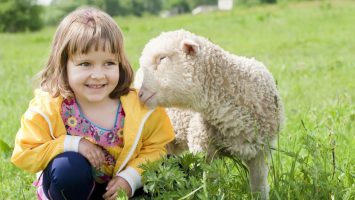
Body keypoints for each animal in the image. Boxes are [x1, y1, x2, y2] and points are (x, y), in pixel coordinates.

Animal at [135, 28, 286, 199]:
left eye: (162, 58)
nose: (140, 94)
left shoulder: (261, 151)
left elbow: (259, 186)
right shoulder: (202, 147)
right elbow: (210, 182)